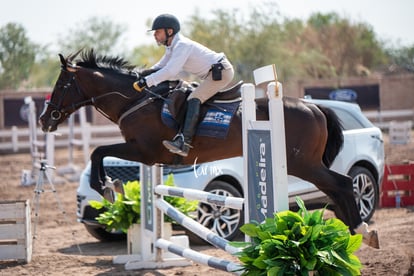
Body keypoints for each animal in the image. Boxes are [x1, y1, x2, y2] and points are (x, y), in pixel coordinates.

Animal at [38, 49, 378, 248]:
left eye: (62, 85)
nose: (44, 120)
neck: (135, 100)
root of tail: (315, 107)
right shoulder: (143, 154)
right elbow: (100, 153)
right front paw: (112, 186)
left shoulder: (147, 152)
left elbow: (99, 151)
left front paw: (106, 187)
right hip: (307, 165)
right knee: (336, 187)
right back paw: (354, 230)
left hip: (302, 164)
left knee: (343, 183)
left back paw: (361, 228)